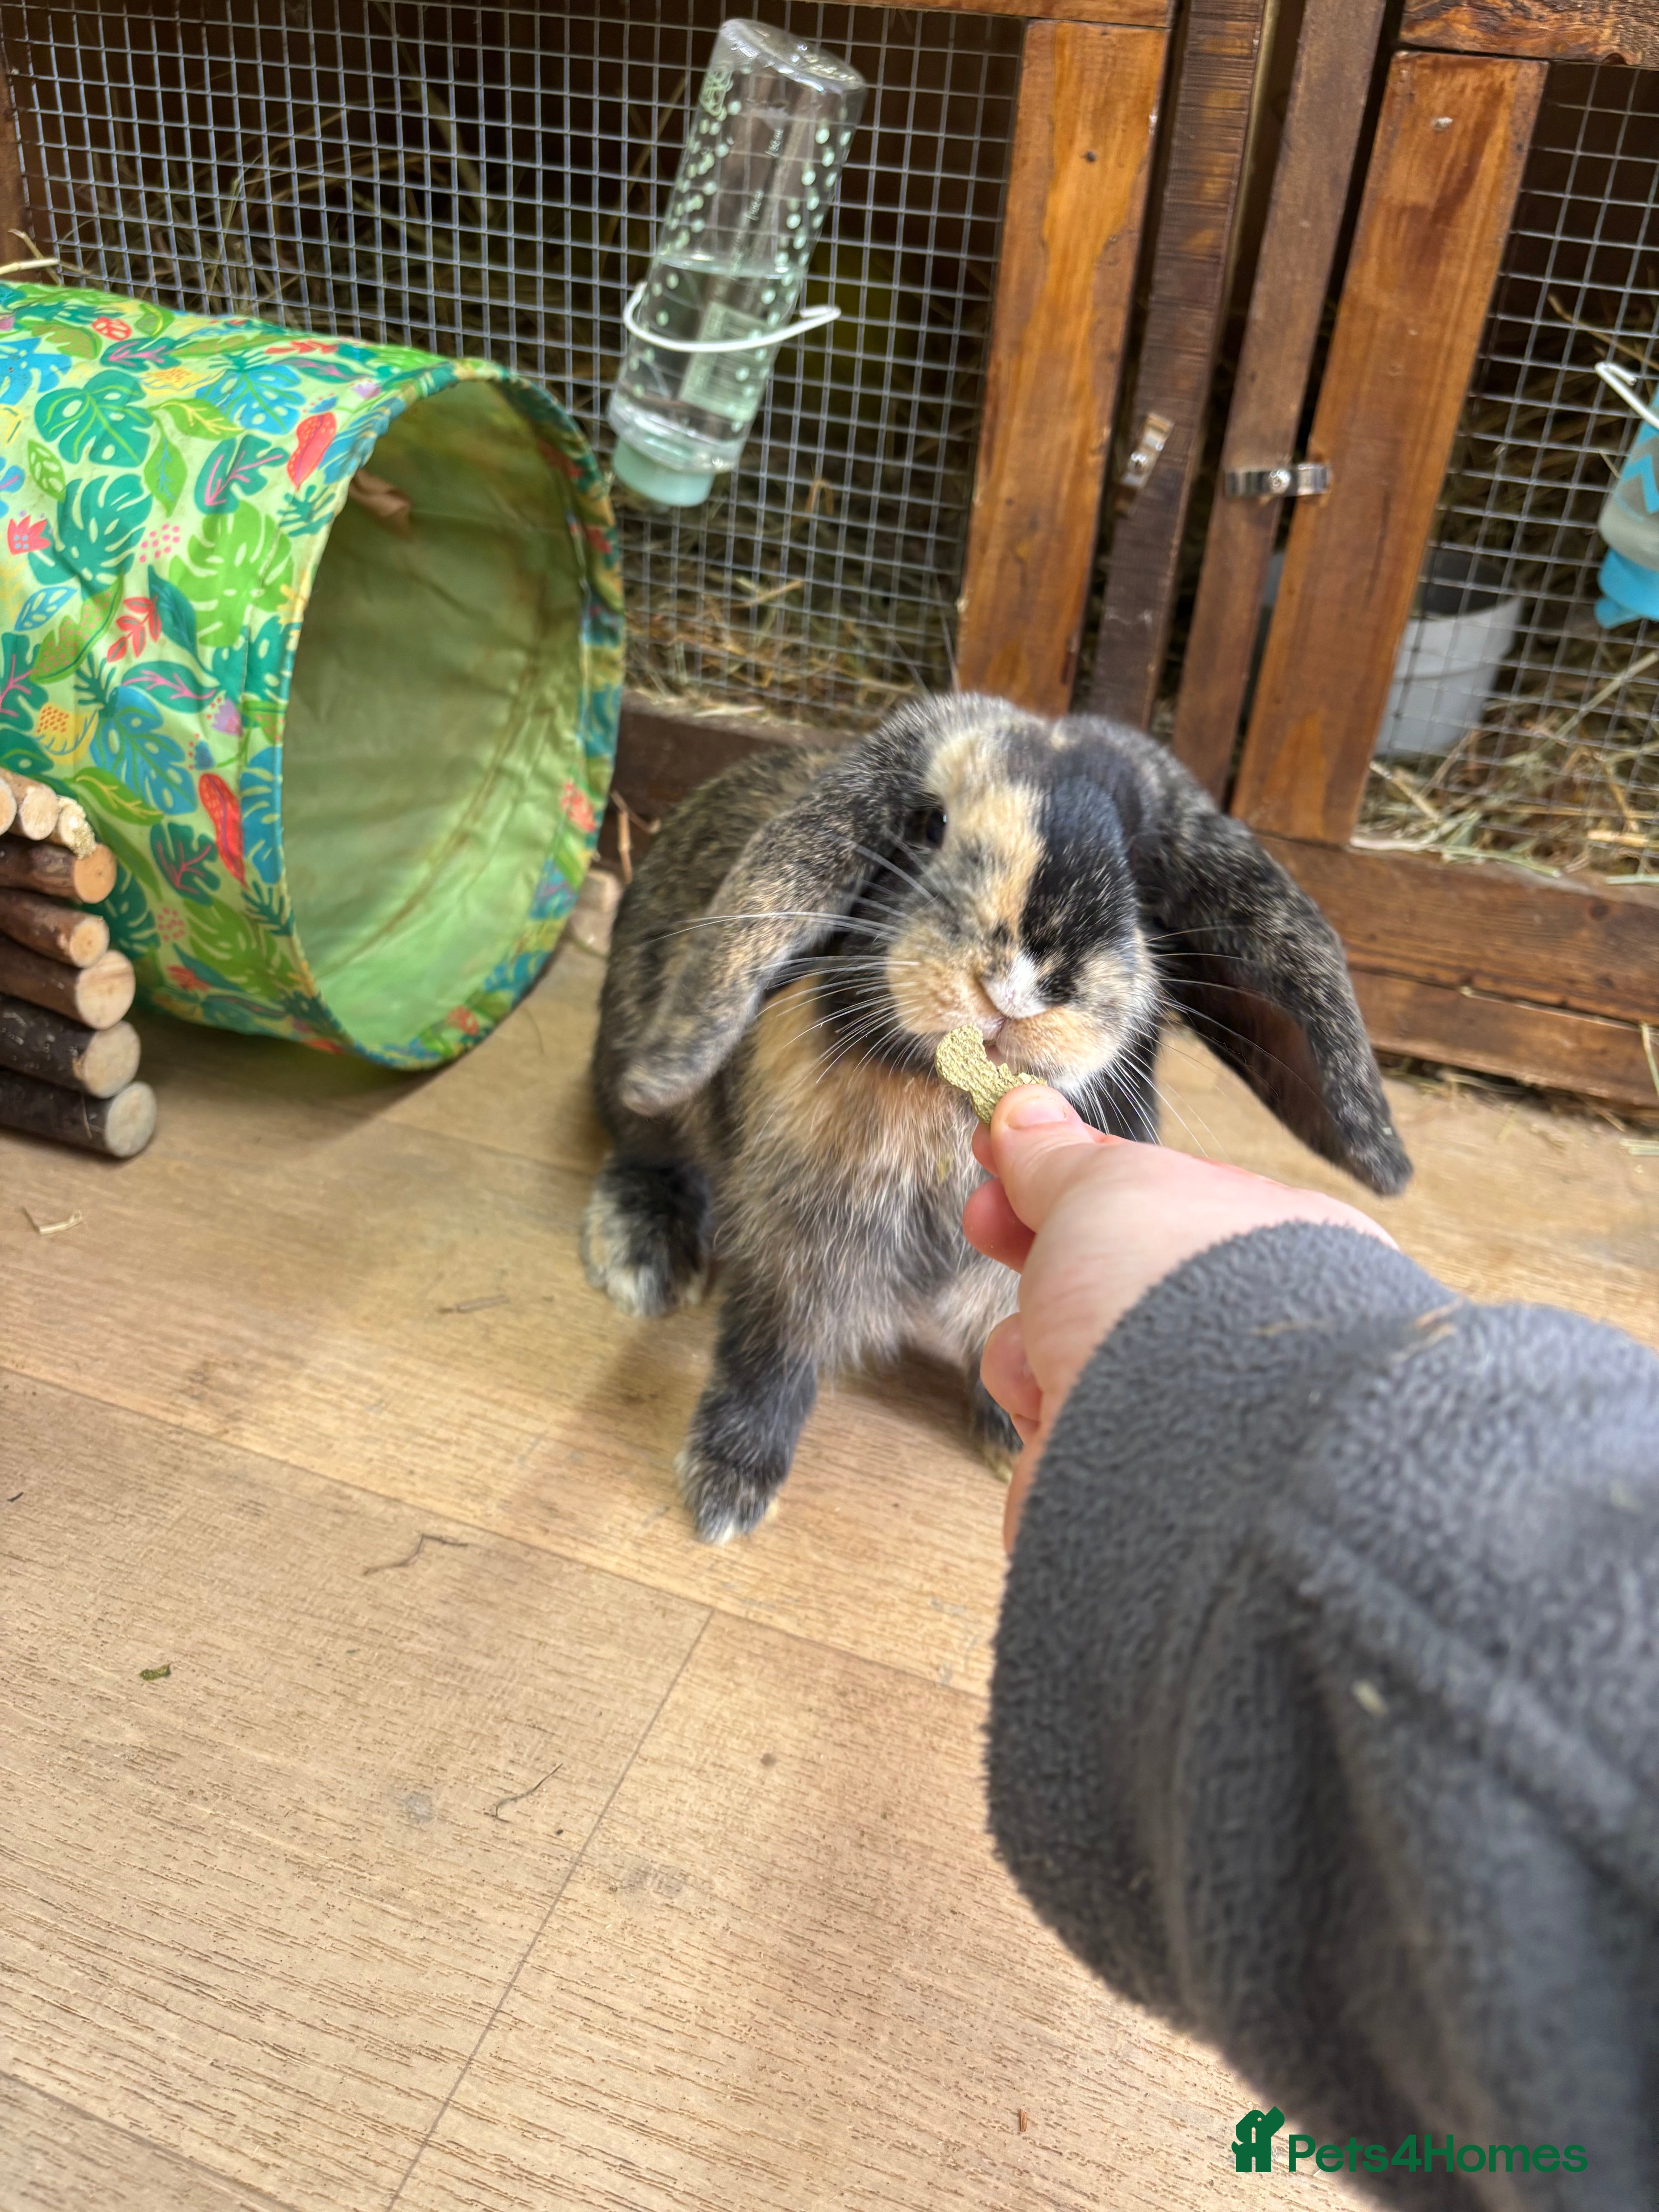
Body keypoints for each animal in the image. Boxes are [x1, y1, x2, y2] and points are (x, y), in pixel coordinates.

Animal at [581, 691, 1410, 1542]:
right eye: (929, 825)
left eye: (1141, 874)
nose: (1020, 982)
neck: (942, 1099)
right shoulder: (792, 1254)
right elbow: (766, 1358)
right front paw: (726, 1491)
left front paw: (1021, 1448)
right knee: (644, 1148)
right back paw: (646, 1260)